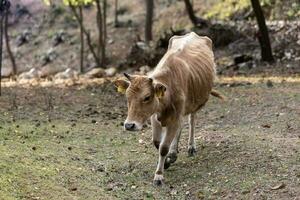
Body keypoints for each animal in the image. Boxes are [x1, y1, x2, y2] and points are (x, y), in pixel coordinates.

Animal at [113, 31, 224, 186]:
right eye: (127, 97)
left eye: (147, 97)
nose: (129, 125)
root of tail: (193, 34)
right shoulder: (155, 117)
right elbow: (157, 143)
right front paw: (166, 161)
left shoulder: (175, 116)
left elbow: (163, 147)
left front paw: (159, 175)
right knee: (180, 127)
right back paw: (174, 153)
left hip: (194, 104)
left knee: (191, 121)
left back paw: (190, 147)